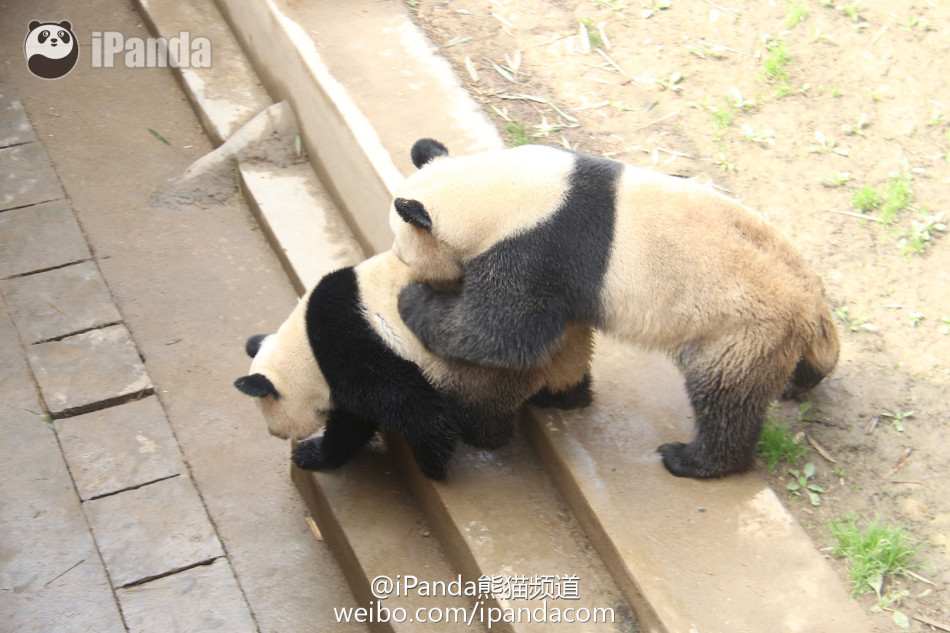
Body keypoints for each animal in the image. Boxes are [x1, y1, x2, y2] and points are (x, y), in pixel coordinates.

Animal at [236, 252, 596, 478]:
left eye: (270, 417)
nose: (277, 434)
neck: (308, 348)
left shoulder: (360, 349)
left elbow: (414, 409)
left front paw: (434, 465)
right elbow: (354, 424)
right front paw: (314, 454)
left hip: (493, 360)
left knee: (482, 408)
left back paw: (488, 435)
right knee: (566, 376)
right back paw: (571, 397)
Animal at [386, 136, 840, 476]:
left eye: (405, 256)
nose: (418, 276)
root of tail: (808, 301)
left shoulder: (541, 247)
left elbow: (497, 330)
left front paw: (414, 300)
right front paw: (563, 392)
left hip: (741, 330)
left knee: (726, 397)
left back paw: (693, 460)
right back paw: (799, 382)